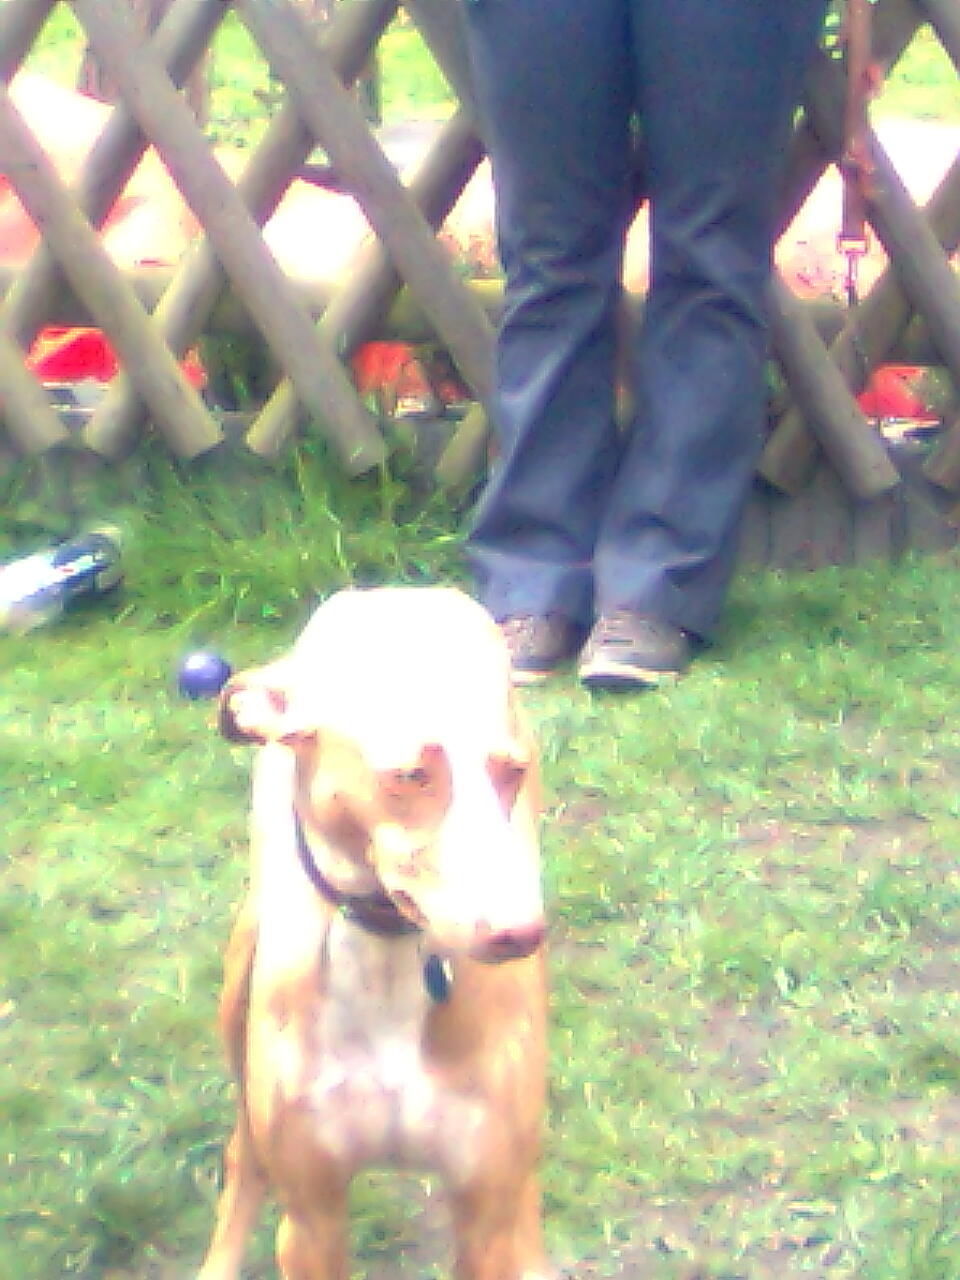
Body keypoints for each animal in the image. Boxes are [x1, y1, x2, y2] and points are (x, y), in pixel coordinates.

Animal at [199, 586, 552, 1280]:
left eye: (512, 771)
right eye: (410, 776)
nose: (521, 932)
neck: (388, 954)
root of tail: (395, 591)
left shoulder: (484, 1215)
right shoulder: (312, 1222)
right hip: (237, 1001)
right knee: (243, 1157)